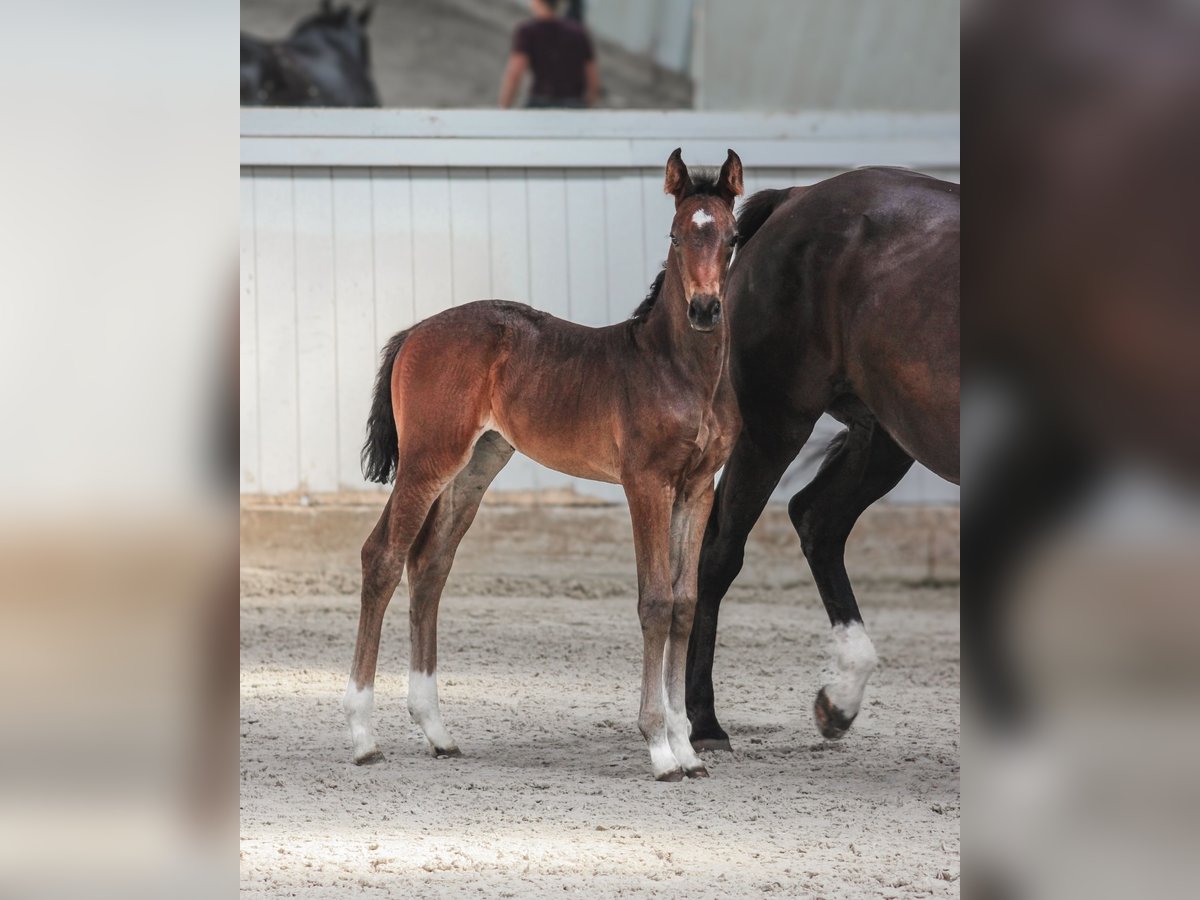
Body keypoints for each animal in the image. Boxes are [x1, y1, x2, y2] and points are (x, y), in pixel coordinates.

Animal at [343, 150, 744, 782]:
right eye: (677, 236)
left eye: (731, 238)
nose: (705, 310)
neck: (680, 371)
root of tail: (414, 333)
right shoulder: (646, 484)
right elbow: (654, 601)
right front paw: (659, 749)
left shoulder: (698, 488)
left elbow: (685, 602)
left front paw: (686, 747)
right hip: (428, 460)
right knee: (381, 556)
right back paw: (362, 737)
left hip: (475, 467)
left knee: (429, 566)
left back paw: (437, 732)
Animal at [686, 169, 955, 753]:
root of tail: (796, 196)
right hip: (775, 423)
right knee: (719, 553)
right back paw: (703, 722)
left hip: (885, 435)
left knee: (817, 520)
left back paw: (839, 700)